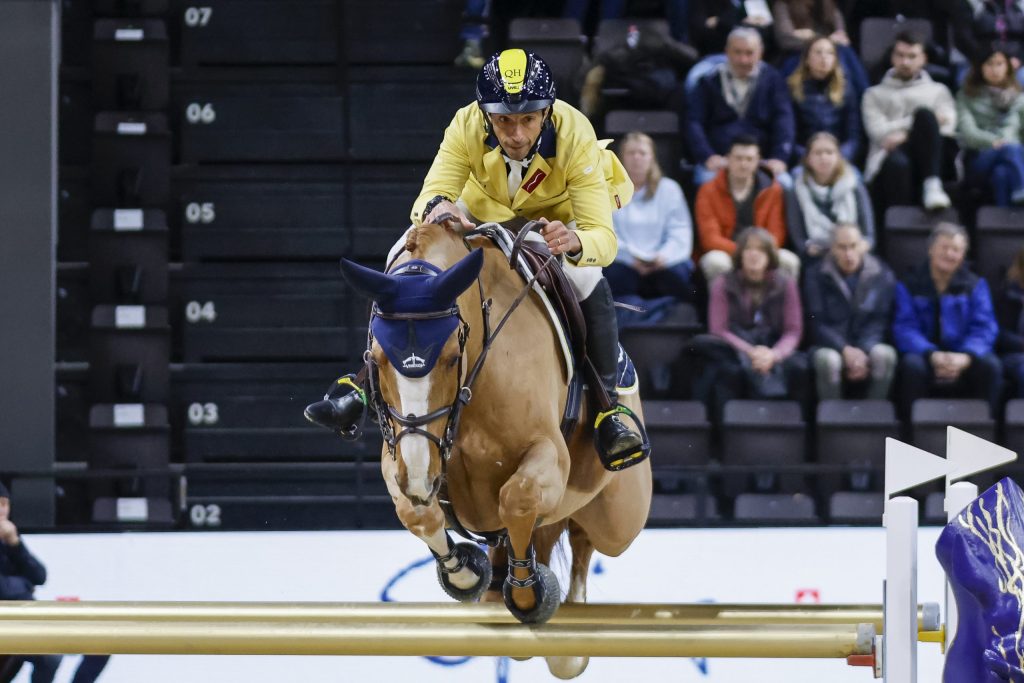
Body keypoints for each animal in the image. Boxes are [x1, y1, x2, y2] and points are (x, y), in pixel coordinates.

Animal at [339, 222, 651, 679]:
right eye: (375, 359)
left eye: (452, 357)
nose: (420, 476)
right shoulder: (399, 456)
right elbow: (418, 513)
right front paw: (465, 572)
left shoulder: (549, 457)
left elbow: (517, 498)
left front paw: (528, 592)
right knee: (540, 536)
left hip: (619, 519)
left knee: (582, 541)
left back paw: (568, 637)